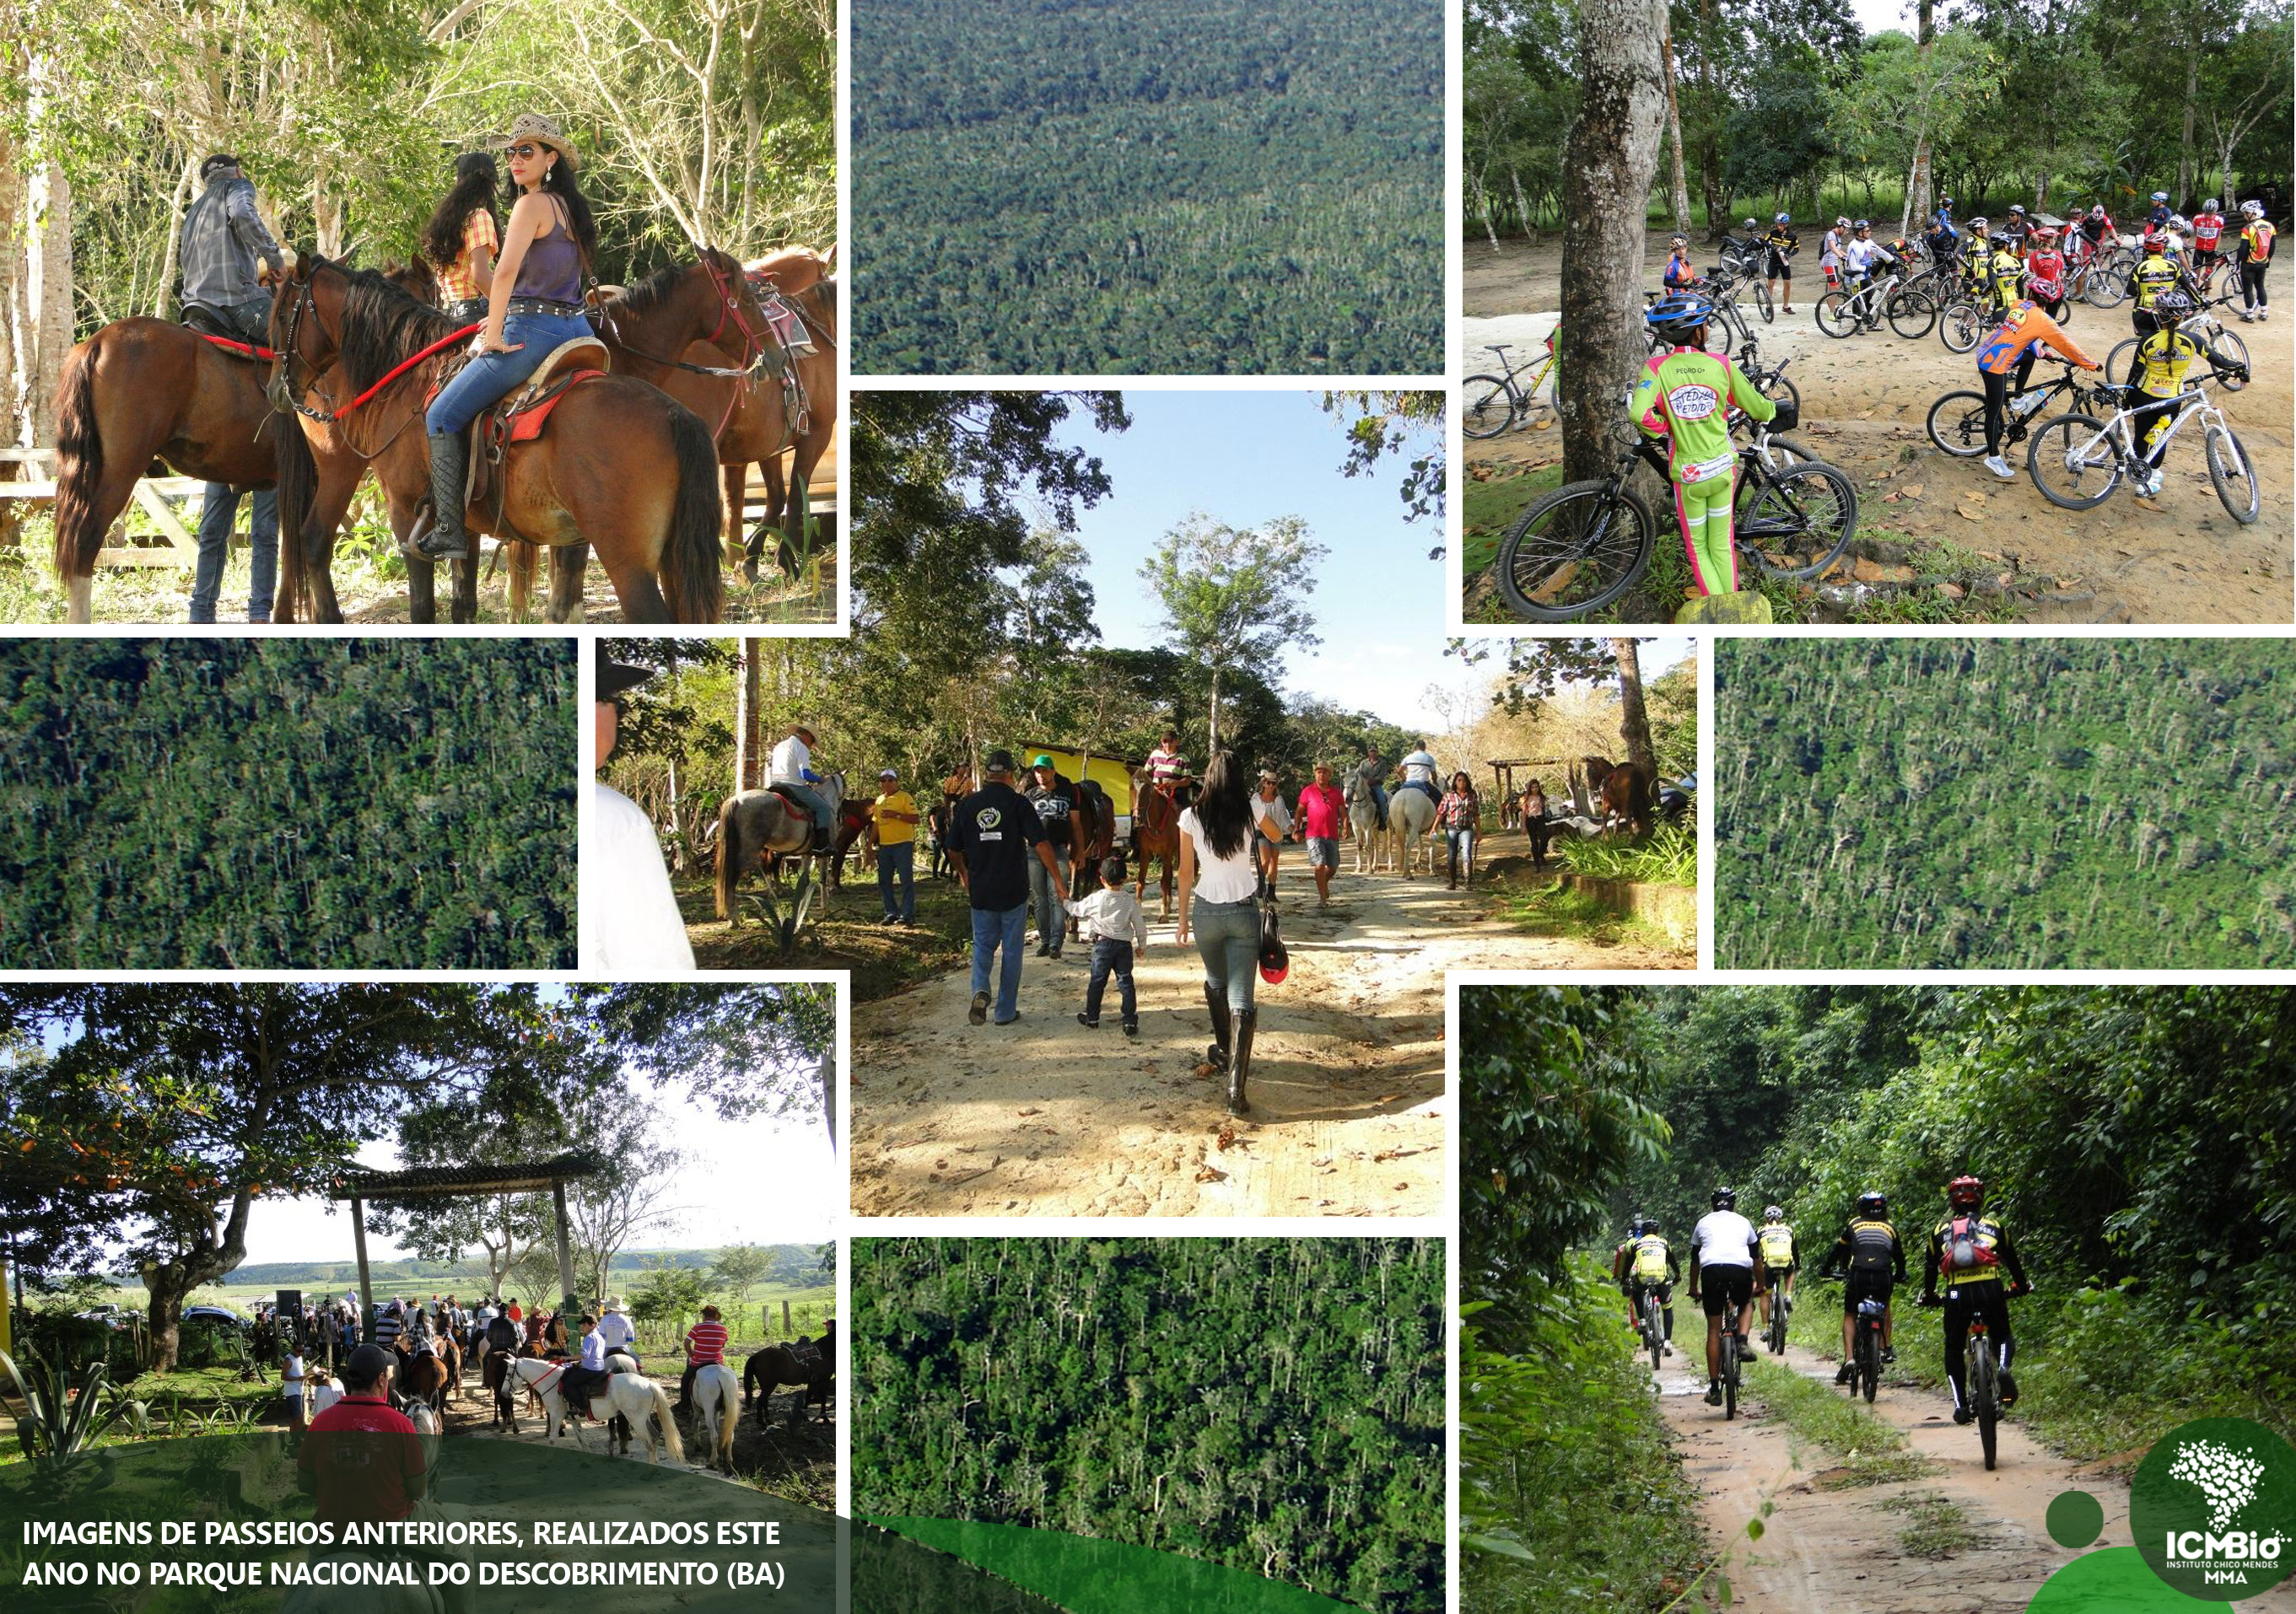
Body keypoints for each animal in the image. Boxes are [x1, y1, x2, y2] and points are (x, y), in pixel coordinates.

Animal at [260, 253, 725, 624]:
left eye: (283, 316)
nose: (276, 389)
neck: (408, 379)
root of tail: (675, 414)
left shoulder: (407, 515)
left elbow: (423, 610)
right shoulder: (461, 524)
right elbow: (464, 606)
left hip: (628, 561)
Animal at [503, 1349, 679, 1469]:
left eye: (509, 1373)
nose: (504, 1393)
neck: (552, 1382)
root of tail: (649, 1384)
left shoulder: (556, 1415)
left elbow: (552, 1438)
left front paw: (545, 1463)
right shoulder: (573, 1419)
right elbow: (582, 1440)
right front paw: (587, 1461)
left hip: (636, 1420)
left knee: (649, 1442)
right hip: (643, 1418)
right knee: (655, 1436)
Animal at [684, 1358, 739, 1478]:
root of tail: (722, 1374)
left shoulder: (696, 1407)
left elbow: (696, 1423)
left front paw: (698, 1446)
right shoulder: (717, 1411)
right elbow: (717, 1426)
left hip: (708, 1409)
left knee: (713, 1435)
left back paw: (712, 1463)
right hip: (729, 1409)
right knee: (729, 1435)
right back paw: (729, 1466)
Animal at [711, 776, 849, 927]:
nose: (842, 816)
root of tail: (736, 800)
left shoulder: (807, 854)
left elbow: (804, 880)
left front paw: (802, 911)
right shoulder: (824, 855)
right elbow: (823, 879)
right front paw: (826, 910)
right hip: (748, 852)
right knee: (734, 877)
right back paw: (734, 918)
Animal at [1129, 771, 1184, 923]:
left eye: (1148, 788)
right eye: (1131, 787)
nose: (1137, 818)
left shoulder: (1166, 853)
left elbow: (1164, 881)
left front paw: (1163, 913)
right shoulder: (1145, 853)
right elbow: (1141, 881)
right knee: (1171, 875)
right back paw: (1170, 904)